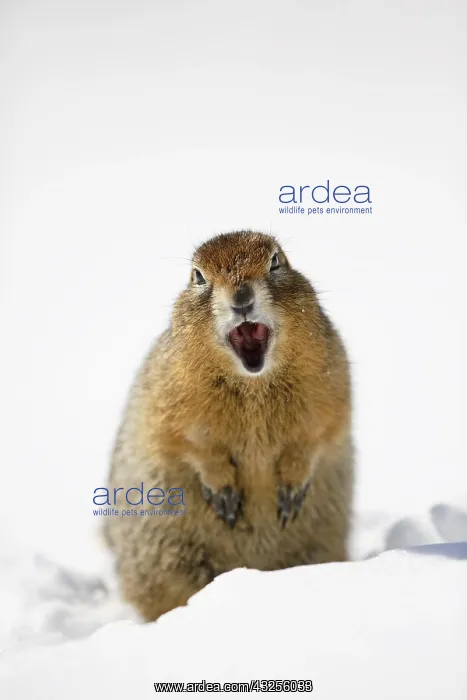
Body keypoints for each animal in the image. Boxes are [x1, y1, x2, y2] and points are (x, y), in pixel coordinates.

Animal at [104, 230, 354, 622]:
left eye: (276, 261)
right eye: (198, 276)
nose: (241, 297)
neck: (253, 386)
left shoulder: (330, 381)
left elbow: (320, 430)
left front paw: (291, 491)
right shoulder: (169, 394)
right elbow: (184, 439)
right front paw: (224, 495)